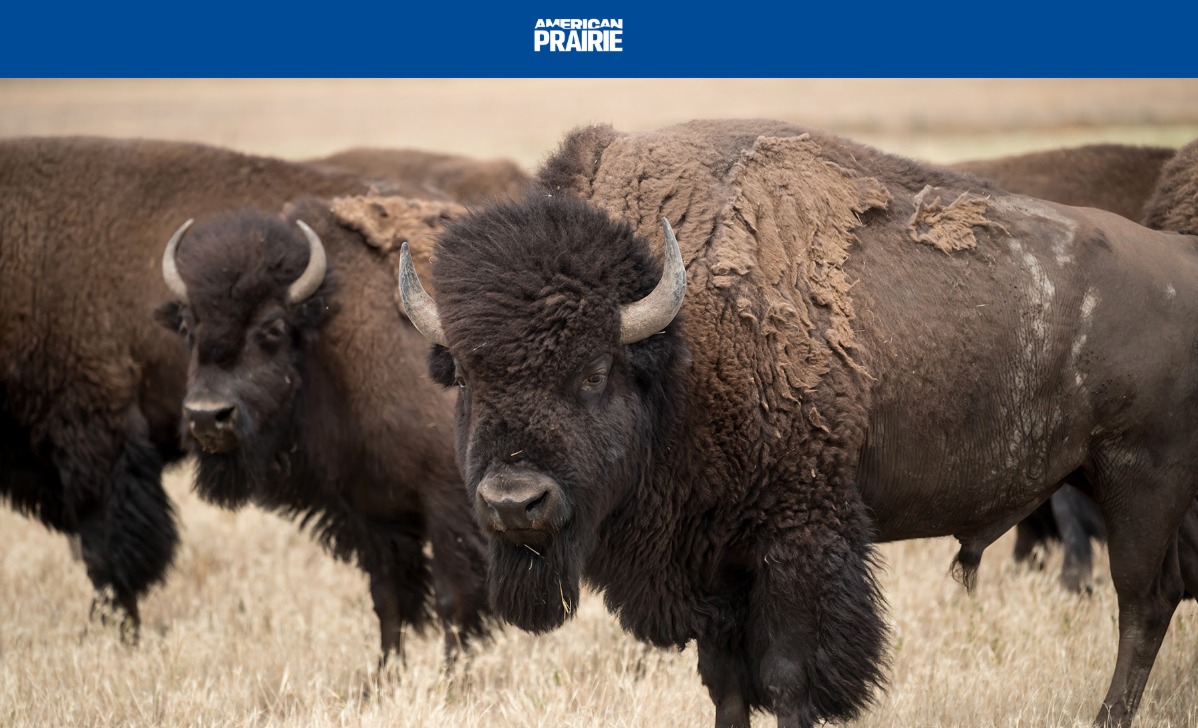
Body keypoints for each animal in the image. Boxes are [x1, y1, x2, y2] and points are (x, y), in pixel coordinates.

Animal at [0, 136, 390, 636]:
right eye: (184, 327)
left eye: (273, 329)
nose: (206, 416)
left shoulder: (95, 437)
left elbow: (108, 552)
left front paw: (117, 632)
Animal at [157, 194, 489, 663]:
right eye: (188, 325)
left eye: (273, 328)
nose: (207, 416)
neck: (330, 346)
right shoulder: (376, 519)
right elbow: (388, 602)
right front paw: (385, 674)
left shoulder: (448, 510)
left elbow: (453, 603)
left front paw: (451, 677)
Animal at [400, 119, 1198, 727]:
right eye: (463, 374)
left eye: (594, 371)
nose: (514, 504)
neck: (682, 348)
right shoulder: (713, 563)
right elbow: (726, 684)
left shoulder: (795, 544)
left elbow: (787, 678)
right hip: (1097, 476)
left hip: (1139, 479)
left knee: (1142, 604)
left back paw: (1105, 719)